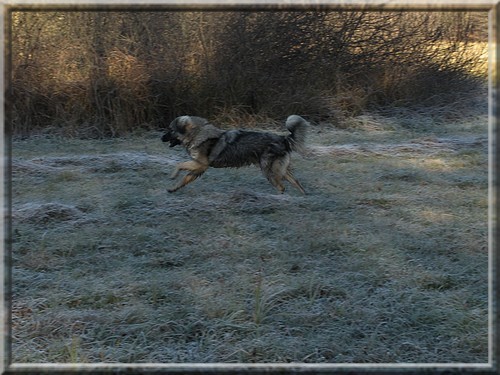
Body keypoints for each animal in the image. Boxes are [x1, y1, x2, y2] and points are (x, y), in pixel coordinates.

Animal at [162, 115, 306, 194]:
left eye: (170, 130)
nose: (161, 138)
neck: (197, 133)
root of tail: (283, 138)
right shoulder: (198, 168)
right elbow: (184, 179)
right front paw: (172, 189)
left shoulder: (201, 164)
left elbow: (180, 164)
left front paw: (173, 175)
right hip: (280, 169)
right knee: (296, 182)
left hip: (268, 170)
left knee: (282, 187)